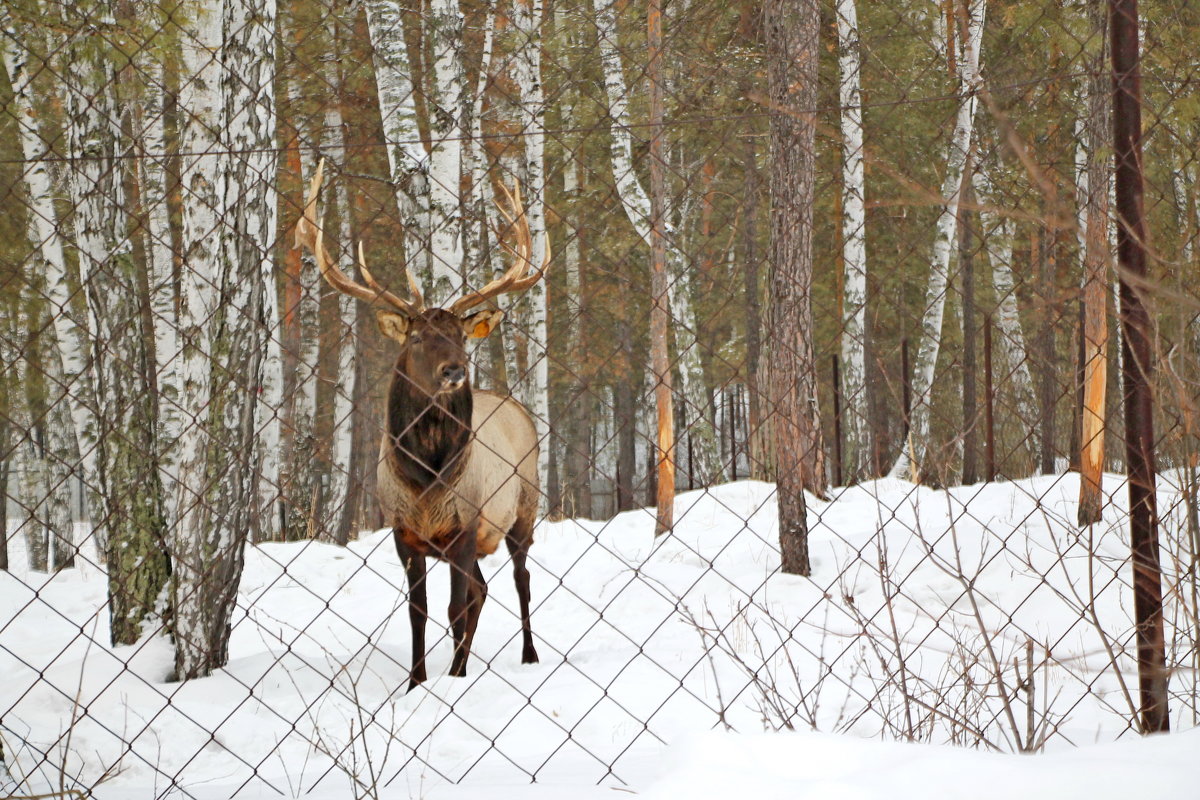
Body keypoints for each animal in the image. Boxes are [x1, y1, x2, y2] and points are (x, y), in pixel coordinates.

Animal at [295, 160, 549, 690]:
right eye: (416, 339)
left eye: (459, 336)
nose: (454, 370)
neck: (428, 479)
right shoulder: (403, 531)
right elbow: (419, 611)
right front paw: (418, 681)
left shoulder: (465, 525)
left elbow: (455, 607)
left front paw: (452, 679)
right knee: (483, 590)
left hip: (524, 508)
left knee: (519, 581)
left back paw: (528, 654)